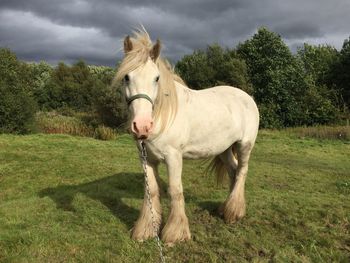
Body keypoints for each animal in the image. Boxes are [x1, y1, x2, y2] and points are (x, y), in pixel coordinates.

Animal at [115, 29, 260, 246]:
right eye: (126, 77)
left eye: (156, 78)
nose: (142, 126)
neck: (164, 115)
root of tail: (247, 98)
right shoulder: (146, 158)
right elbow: (152, 190)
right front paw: (146, 230)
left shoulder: (174, 157)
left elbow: (175, 190)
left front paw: (175, 235)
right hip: (225, 149)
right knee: (233, 172)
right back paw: (225, 210)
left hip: (244, 145)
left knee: (242, 171)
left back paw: (234, 212)